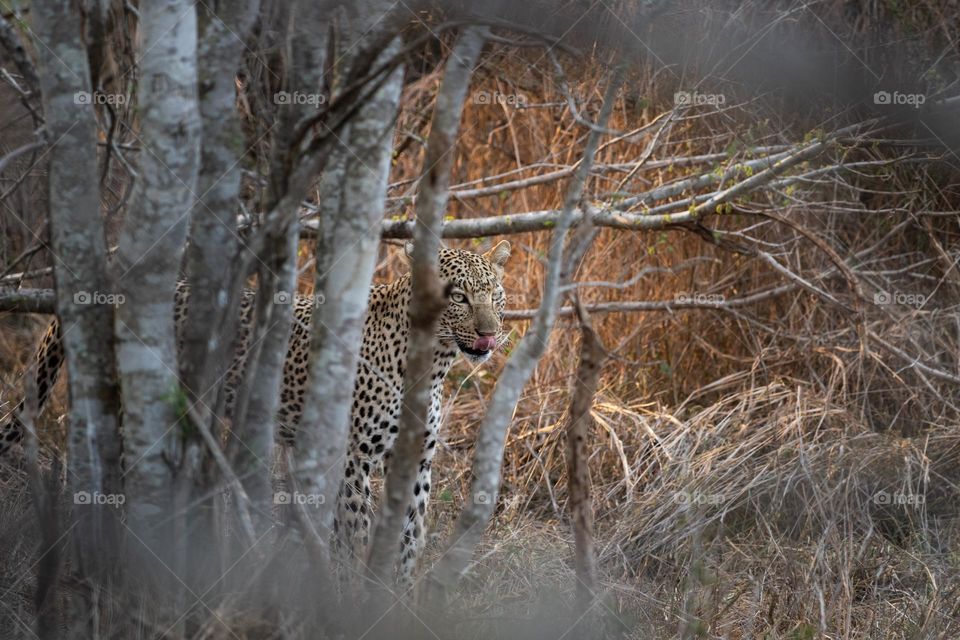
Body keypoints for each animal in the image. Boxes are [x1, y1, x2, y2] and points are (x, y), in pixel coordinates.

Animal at [0, 240, 512, 585]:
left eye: (494, 295)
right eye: (459, 297)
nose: (489, 334)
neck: (433, 364)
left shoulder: (416, 460)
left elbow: (409, 538)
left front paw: (399, 601)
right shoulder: (352, 457)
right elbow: (354, 535)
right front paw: (350, 596)